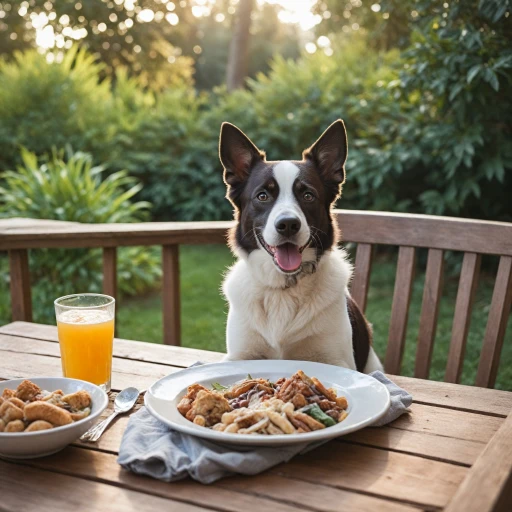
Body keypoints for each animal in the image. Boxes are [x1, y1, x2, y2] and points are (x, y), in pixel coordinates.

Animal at [218, 122, 382, 374]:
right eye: (262, 196)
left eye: (308, 195)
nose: (288, 224)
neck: (284, 289)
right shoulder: (238, 356)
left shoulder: (337, 361)